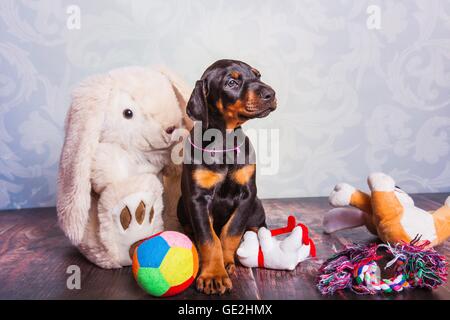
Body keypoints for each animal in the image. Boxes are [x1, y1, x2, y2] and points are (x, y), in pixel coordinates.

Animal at [177, 59, 276, 296]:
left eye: (258, 75)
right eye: (231, 82)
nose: (271, 93)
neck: (223, 141)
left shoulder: (248, 195)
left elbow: (231, 231)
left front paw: (226, 261)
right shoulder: (197, 199)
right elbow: (208, 238)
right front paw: (213, 275)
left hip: (257, 206)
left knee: (256, 226)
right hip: (181, 203)